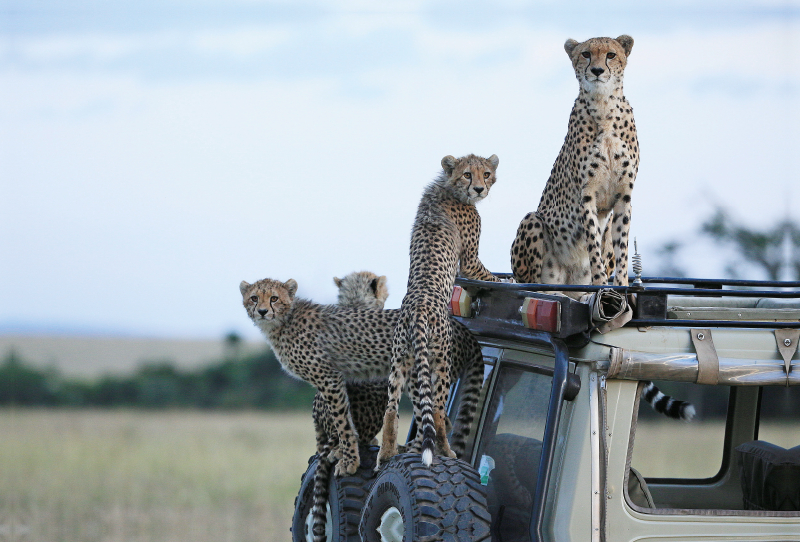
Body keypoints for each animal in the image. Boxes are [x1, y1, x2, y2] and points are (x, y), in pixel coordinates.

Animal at [380, 154, 500, 472]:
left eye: (486, 173)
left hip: (401, 361)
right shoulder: (470, 262)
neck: (449, 188)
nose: (480, 189)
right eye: (468, 174)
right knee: (436, 411)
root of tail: (418, 308)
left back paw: (385, 455)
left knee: (391, 409)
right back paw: (446, 452)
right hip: (441, 362)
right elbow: (490, 276)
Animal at [512, 35, 636, 292]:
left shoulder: (624, 195)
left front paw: (622, 285)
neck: (604, 107)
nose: (597, 71)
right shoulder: (586, 194)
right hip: (532, 221)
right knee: (532, 285)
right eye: (586, 54)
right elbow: (593, 245)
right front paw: (600, 285)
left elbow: (622, 247)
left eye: (610, 54)